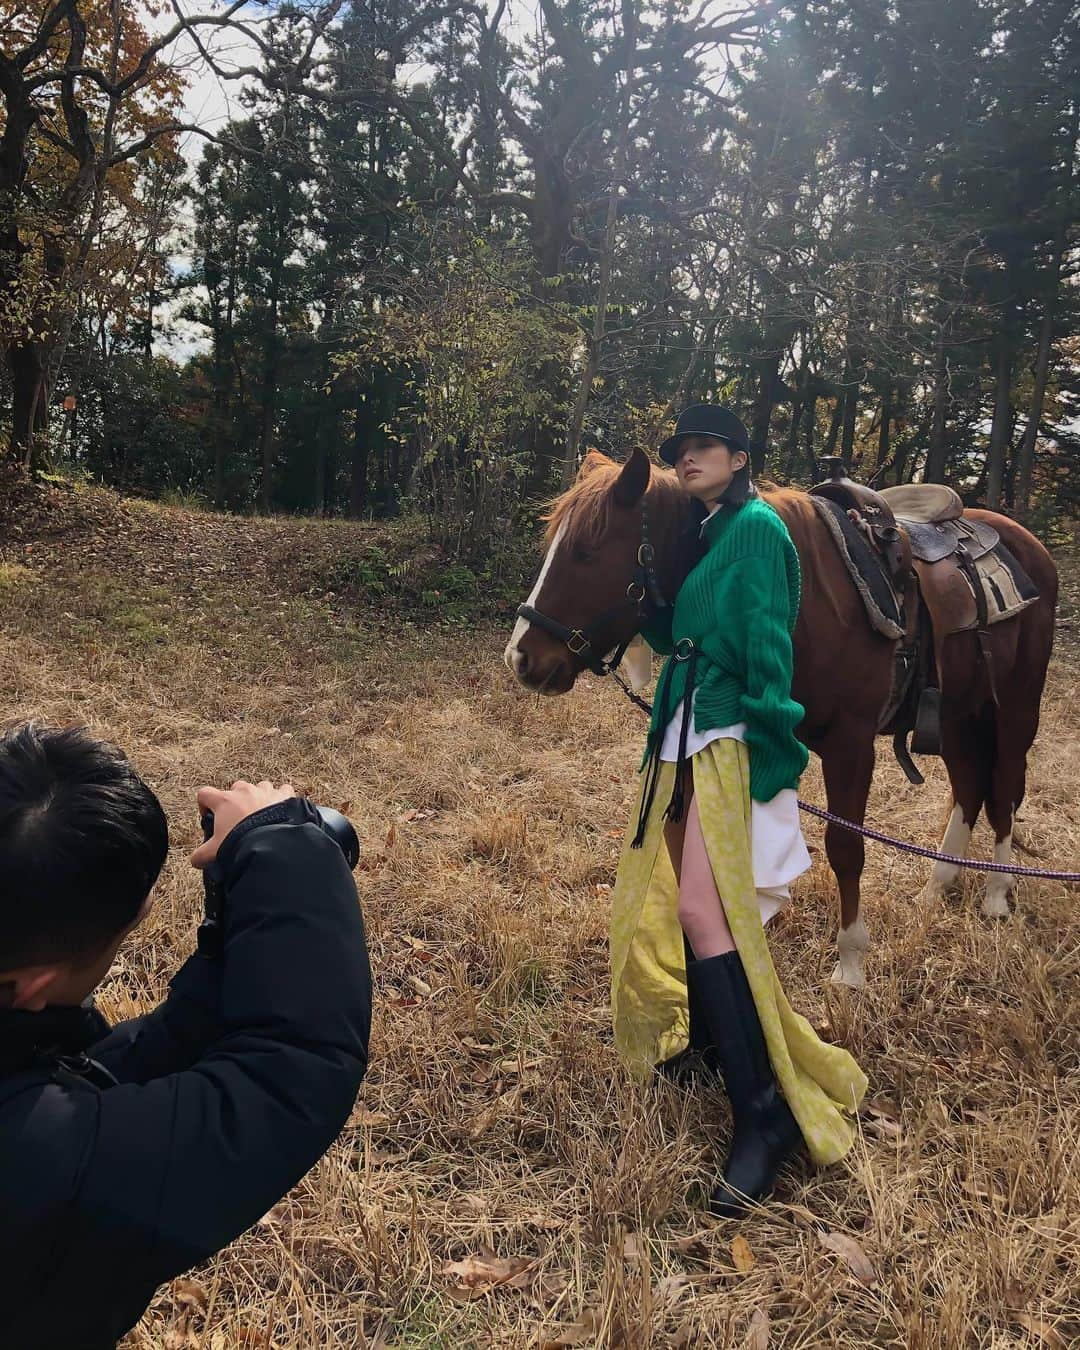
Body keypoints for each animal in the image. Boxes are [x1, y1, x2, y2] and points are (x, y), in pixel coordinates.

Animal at [510, 448, 1058, 988]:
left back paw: (996, 891)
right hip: (960, 714)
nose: (521, 657)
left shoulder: (851, 744)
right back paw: (937, 887)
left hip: (1014, 709)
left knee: (1004, 785)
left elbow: (845, 847)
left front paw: (850, 961)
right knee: (970, 785)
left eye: (586, 550)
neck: (813, 602)